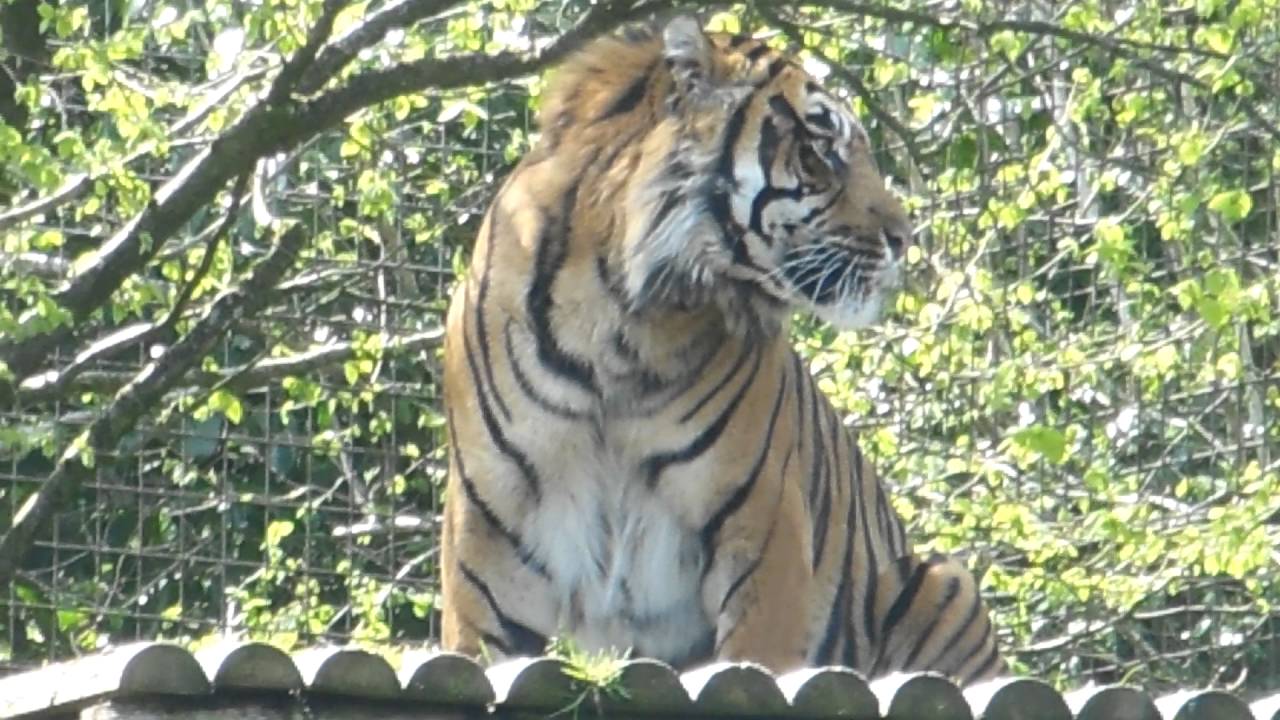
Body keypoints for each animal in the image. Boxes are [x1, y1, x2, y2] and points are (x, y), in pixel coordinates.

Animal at [438, 15, 1004, 684]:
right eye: (820, 149)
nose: (904, 238)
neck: (617, 323)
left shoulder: (765, 534)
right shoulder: (488, 552)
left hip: (946, 584)